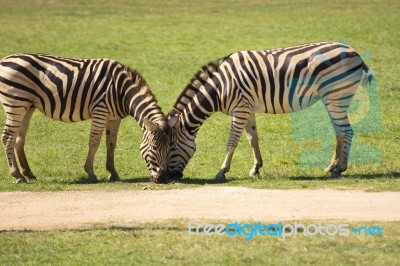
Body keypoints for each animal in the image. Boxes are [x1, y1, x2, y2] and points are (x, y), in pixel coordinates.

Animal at [0, 53, 170, 184]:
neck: (122, 92)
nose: (162, 178)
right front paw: (90, 173)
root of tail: (4, 59)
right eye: (154, 148)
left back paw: (28, 174)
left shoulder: (114, 118)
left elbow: (111, 144)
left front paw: (113, 173)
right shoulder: (100, 112)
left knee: (19, 139)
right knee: (7, 138)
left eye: (170, 148)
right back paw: (17, 176)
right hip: (15, 103)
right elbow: (94, 143)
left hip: (27, 106)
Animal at [166, 41, 376, 182]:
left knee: (346, 131)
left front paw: (222, 171)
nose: (167, 177)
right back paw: (331, 166)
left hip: (336, 96)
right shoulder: (247, 109)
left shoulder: (240, 109)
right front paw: (255, 169)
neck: (219, 87)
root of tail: (354, 52)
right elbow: (253, 139)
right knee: (340, 132)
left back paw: (339, 169)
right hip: (333, 99)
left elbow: (231, 142)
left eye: (171, 147)